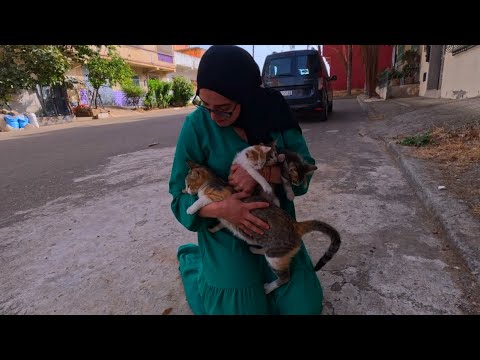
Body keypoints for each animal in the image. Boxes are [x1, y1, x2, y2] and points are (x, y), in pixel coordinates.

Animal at [183, 161, 342, 296]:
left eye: (189, 184)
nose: (185, 191)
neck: (210, 182)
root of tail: (295, 224)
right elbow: (222, 222)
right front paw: (214, 228)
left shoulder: (220, 196)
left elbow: (203, 199)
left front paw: (191, 208)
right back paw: (255, 249)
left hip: (275, 256)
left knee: (285, 277)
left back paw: (269, 287)